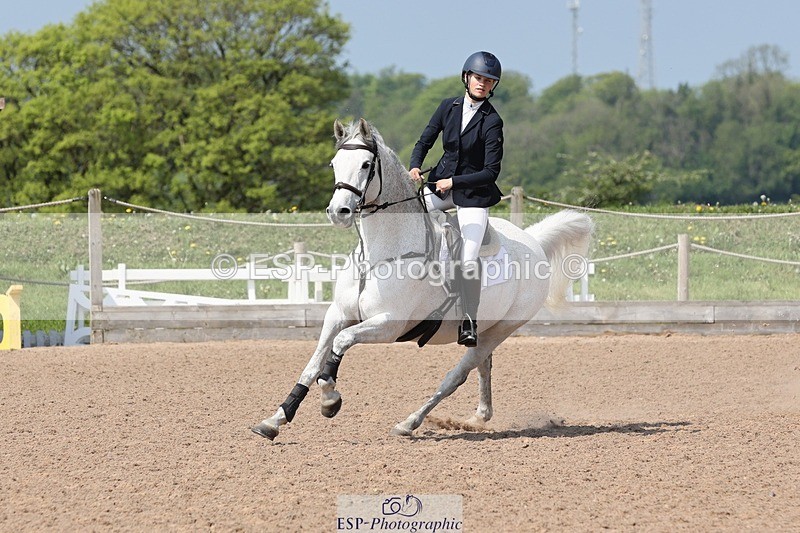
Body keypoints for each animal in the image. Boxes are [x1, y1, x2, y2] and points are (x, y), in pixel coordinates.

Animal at [251, 118, 593, 441]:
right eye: (334, 163)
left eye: (365, 165)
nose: (339, 212)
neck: (379, 254)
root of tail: (532, 240)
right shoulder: (338, 314)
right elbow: (312, 363)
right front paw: (276, 419)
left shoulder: (389, 324)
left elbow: (339, 344)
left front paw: (330, 400)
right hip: (488, 327)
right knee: (483, 366)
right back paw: (478, 417)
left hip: (502, 329)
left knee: (459, 373)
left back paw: (409, 423)